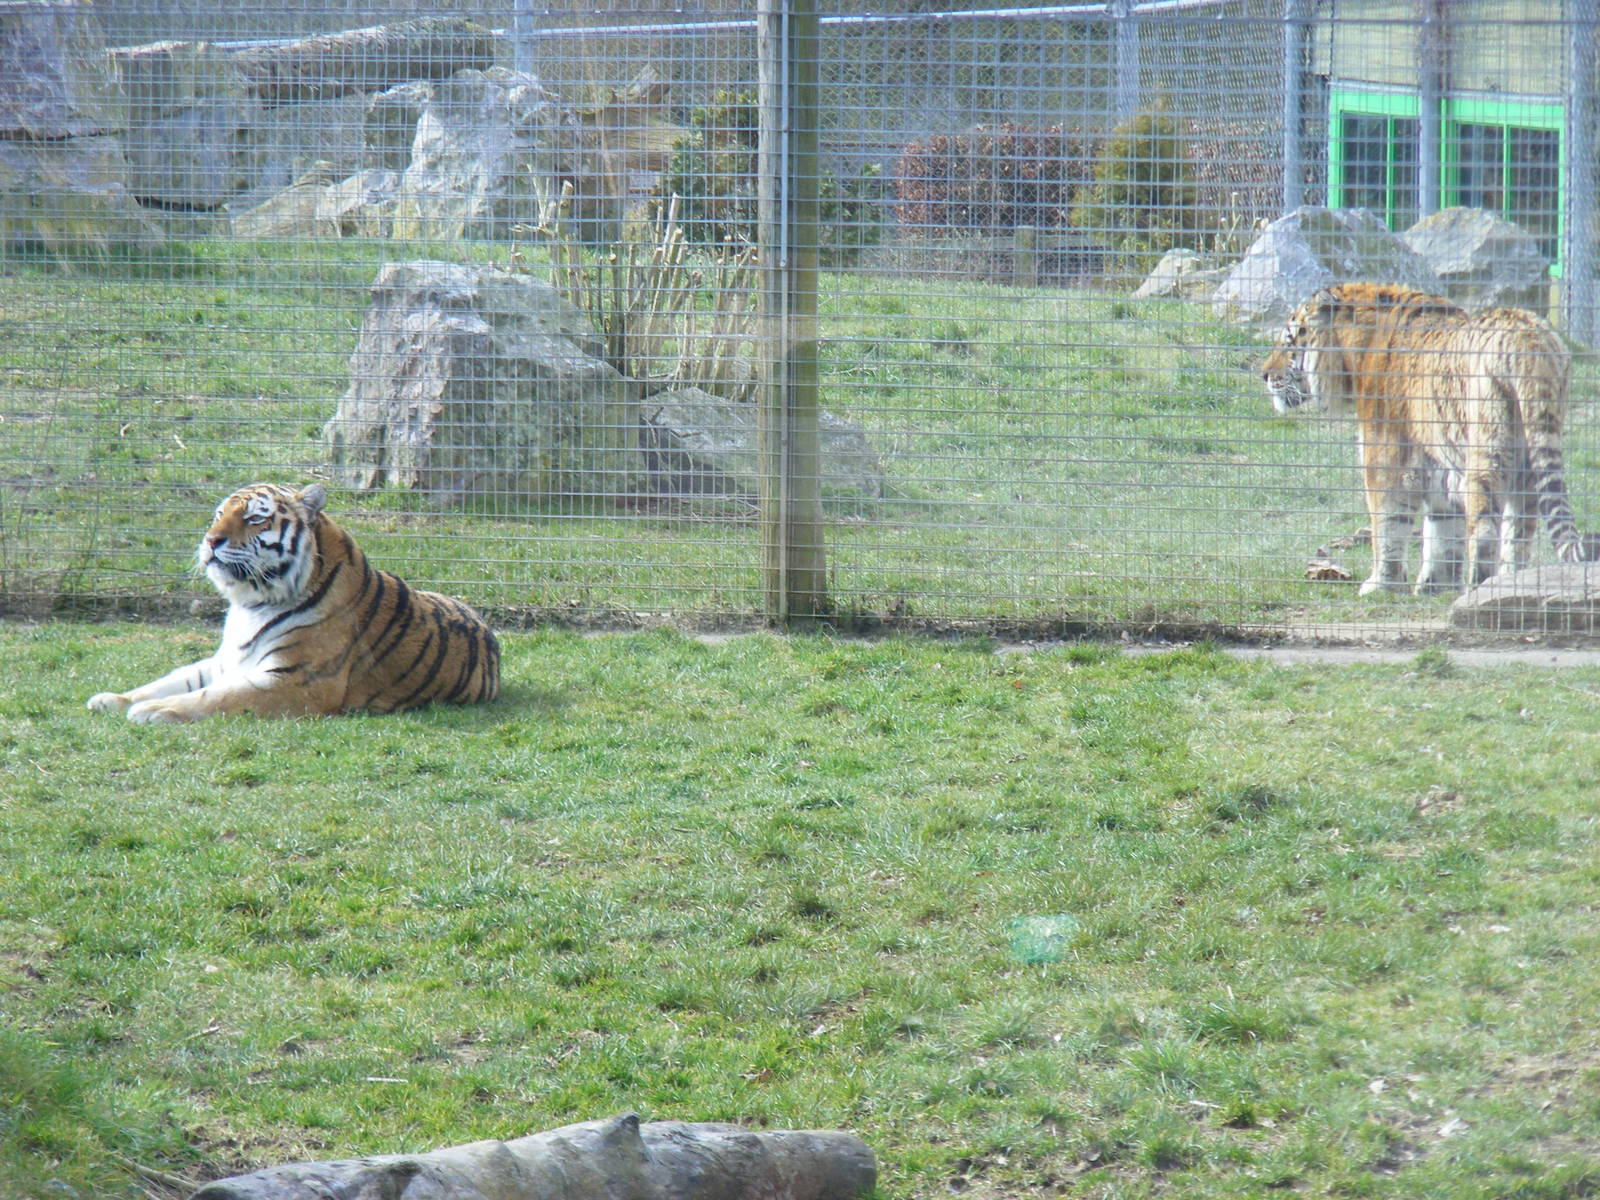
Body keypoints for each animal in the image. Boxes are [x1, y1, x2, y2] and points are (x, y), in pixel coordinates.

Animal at [87, 483, 500, 723]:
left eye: (254, 518)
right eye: (219, 514)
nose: (210, 541)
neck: (250, 603)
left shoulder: (297, 680)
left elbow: (215, 697)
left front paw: (152, 711)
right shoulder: (223, 663)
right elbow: (168, 682)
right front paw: (113, 699)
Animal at [1262, 281, 1582, 595]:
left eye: (1289, 341)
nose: (1264, 374)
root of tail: (1528, 337)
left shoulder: (1385, 456)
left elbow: (1387, 524)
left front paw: (1381, 585)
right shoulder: (1437, 462)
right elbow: (1443, 533)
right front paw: (1434, 586)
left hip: (1487, 452)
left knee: (1486, 530)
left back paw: (1478, 589)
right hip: (1529, 460)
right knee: (1519, 534)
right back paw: (1507, 585)